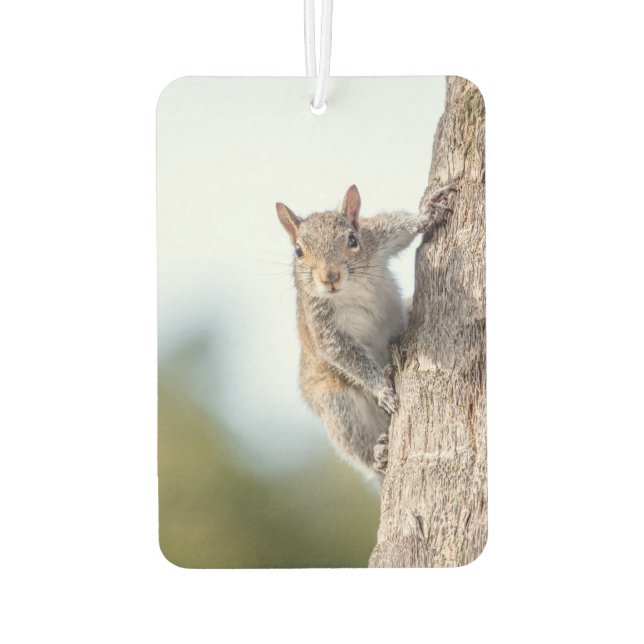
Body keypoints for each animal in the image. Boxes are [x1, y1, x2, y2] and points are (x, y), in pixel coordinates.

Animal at [275, 184, 454, 479]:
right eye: (298, 251)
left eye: (352, 239)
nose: (330, 277)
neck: (351, 287)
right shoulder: (321, 324)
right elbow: (345, 355)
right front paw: (382, 389)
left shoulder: (377, 239)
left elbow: (402, 228)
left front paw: (426, 213)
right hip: (338, 408)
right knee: (362, 452)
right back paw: (380, 456)